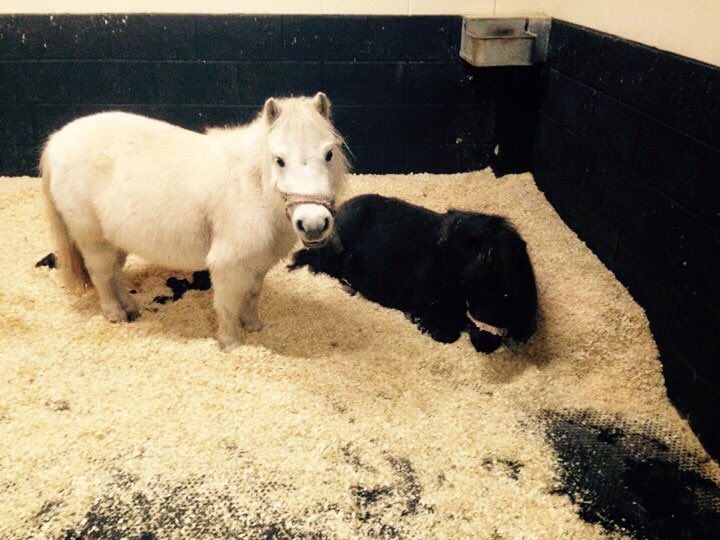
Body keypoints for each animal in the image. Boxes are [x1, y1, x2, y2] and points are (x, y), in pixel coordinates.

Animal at [41, 92, 348, 350]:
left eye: (329, 154)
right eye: (279, 160)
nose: (313, 224)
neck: (253, 185)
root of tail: (57, 140)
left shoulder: (258, 263)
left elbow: (251, 295)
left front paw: (253, 326)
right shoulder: (227, 264)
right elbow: (227, 306)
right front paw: (231, 343)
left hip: (116, 238)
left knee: (115, 273)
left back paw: (131, 307)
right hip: (92, 238)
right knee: (101, 274)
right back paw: (115, 313)